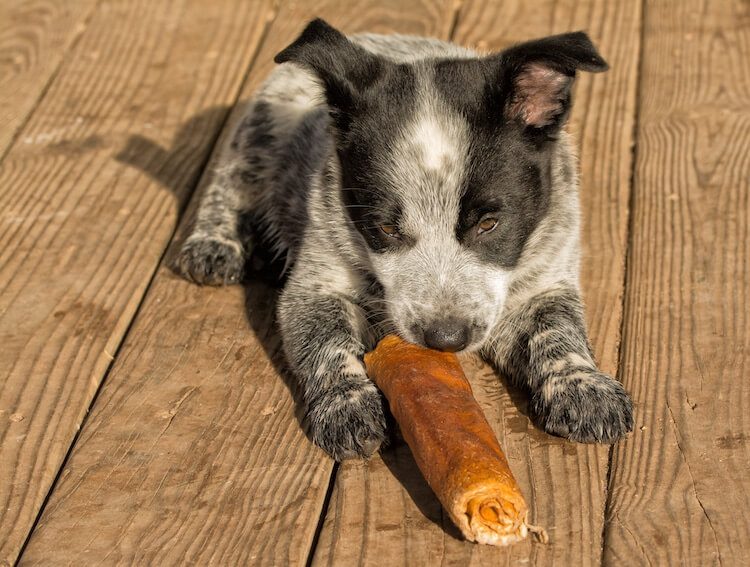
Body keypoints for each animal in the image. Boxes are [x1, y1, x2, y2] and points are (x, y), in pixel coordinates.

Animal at [176, 18, 636, 462]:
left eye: (489, 224)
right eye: (384, 229)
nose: (445, 339)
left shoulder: (548, 277)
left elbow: (558, 329)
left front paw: (583, 385)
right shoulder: (314, 286)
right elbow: (326, 344)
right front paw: (347, 405)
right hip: (262, 131)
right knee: (231, 180)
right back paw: (215, 243)